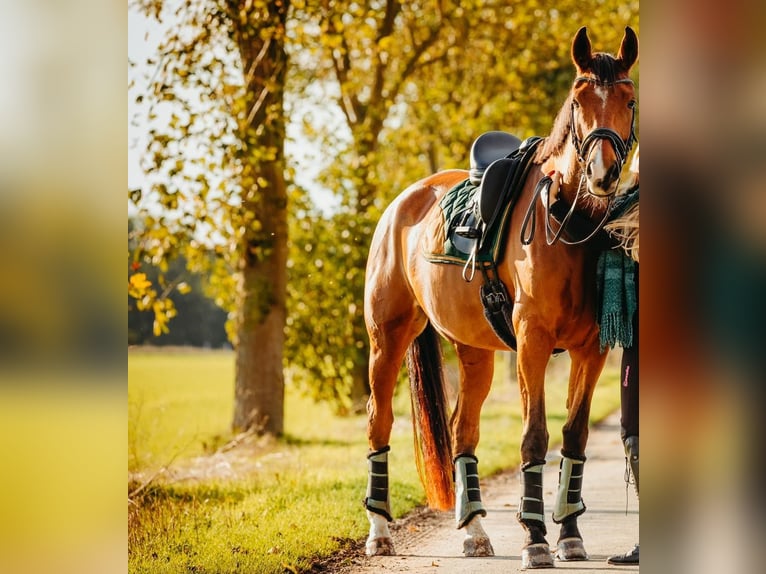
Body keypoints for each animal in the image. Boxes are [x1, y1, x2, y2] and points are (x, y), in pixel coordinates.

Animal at [362, 26, 638, 568]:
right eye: (578, 100)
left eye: (630, 100)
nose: (602, 174)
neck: (567, 221)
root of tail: (403, 202)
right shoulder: (532, 341)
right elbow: (535, 437)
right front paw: (535, 540)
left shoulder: (591, 349)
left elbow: (574, 436)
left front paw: (570, 534)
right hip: (388, 339)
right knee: (379, 423)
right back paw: (380, 530)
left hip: (474, 352)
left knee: (463, 432)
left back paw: (473, 531)